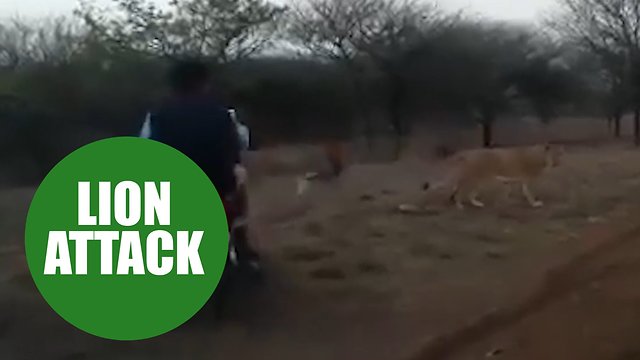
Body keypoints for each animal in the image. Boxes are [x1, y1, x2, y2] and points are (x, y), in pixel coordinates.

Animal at [424, 144, 564, 208]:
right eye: (557, 154)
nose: (560, 163)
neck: (541, 156)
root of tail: (465, 152)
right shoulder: (527, 180)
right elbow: (528, 192)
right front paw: (535, 203)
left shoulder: (512, 180)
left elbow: (509, 190)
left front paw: (507, 200)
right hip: (475, 179)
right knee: (462, 192)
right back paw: (460, 205)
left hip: (473, 179)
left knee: (461, 190)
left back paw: (475, 203)